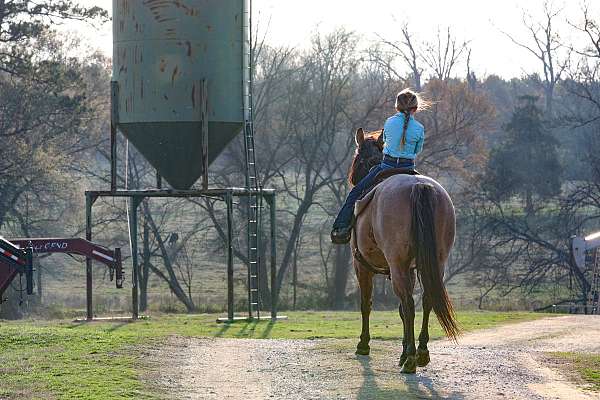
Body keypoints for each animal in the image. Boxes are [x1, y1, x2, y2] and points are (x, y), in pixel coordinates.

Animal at [350, 128, 458, 376]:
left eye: (358, 159)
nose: (352, 179)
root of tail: (419, 186)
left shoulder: (362, 267)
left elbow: (366, 304)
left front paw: (364, 344)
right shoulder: (409, 269)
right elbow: (400, 309)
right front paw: (403, 350)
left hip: (396, 265)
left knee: (409, 304)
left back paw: (410, 359)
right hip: (435, 263)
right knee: (426, 300)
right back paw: (421, 353)